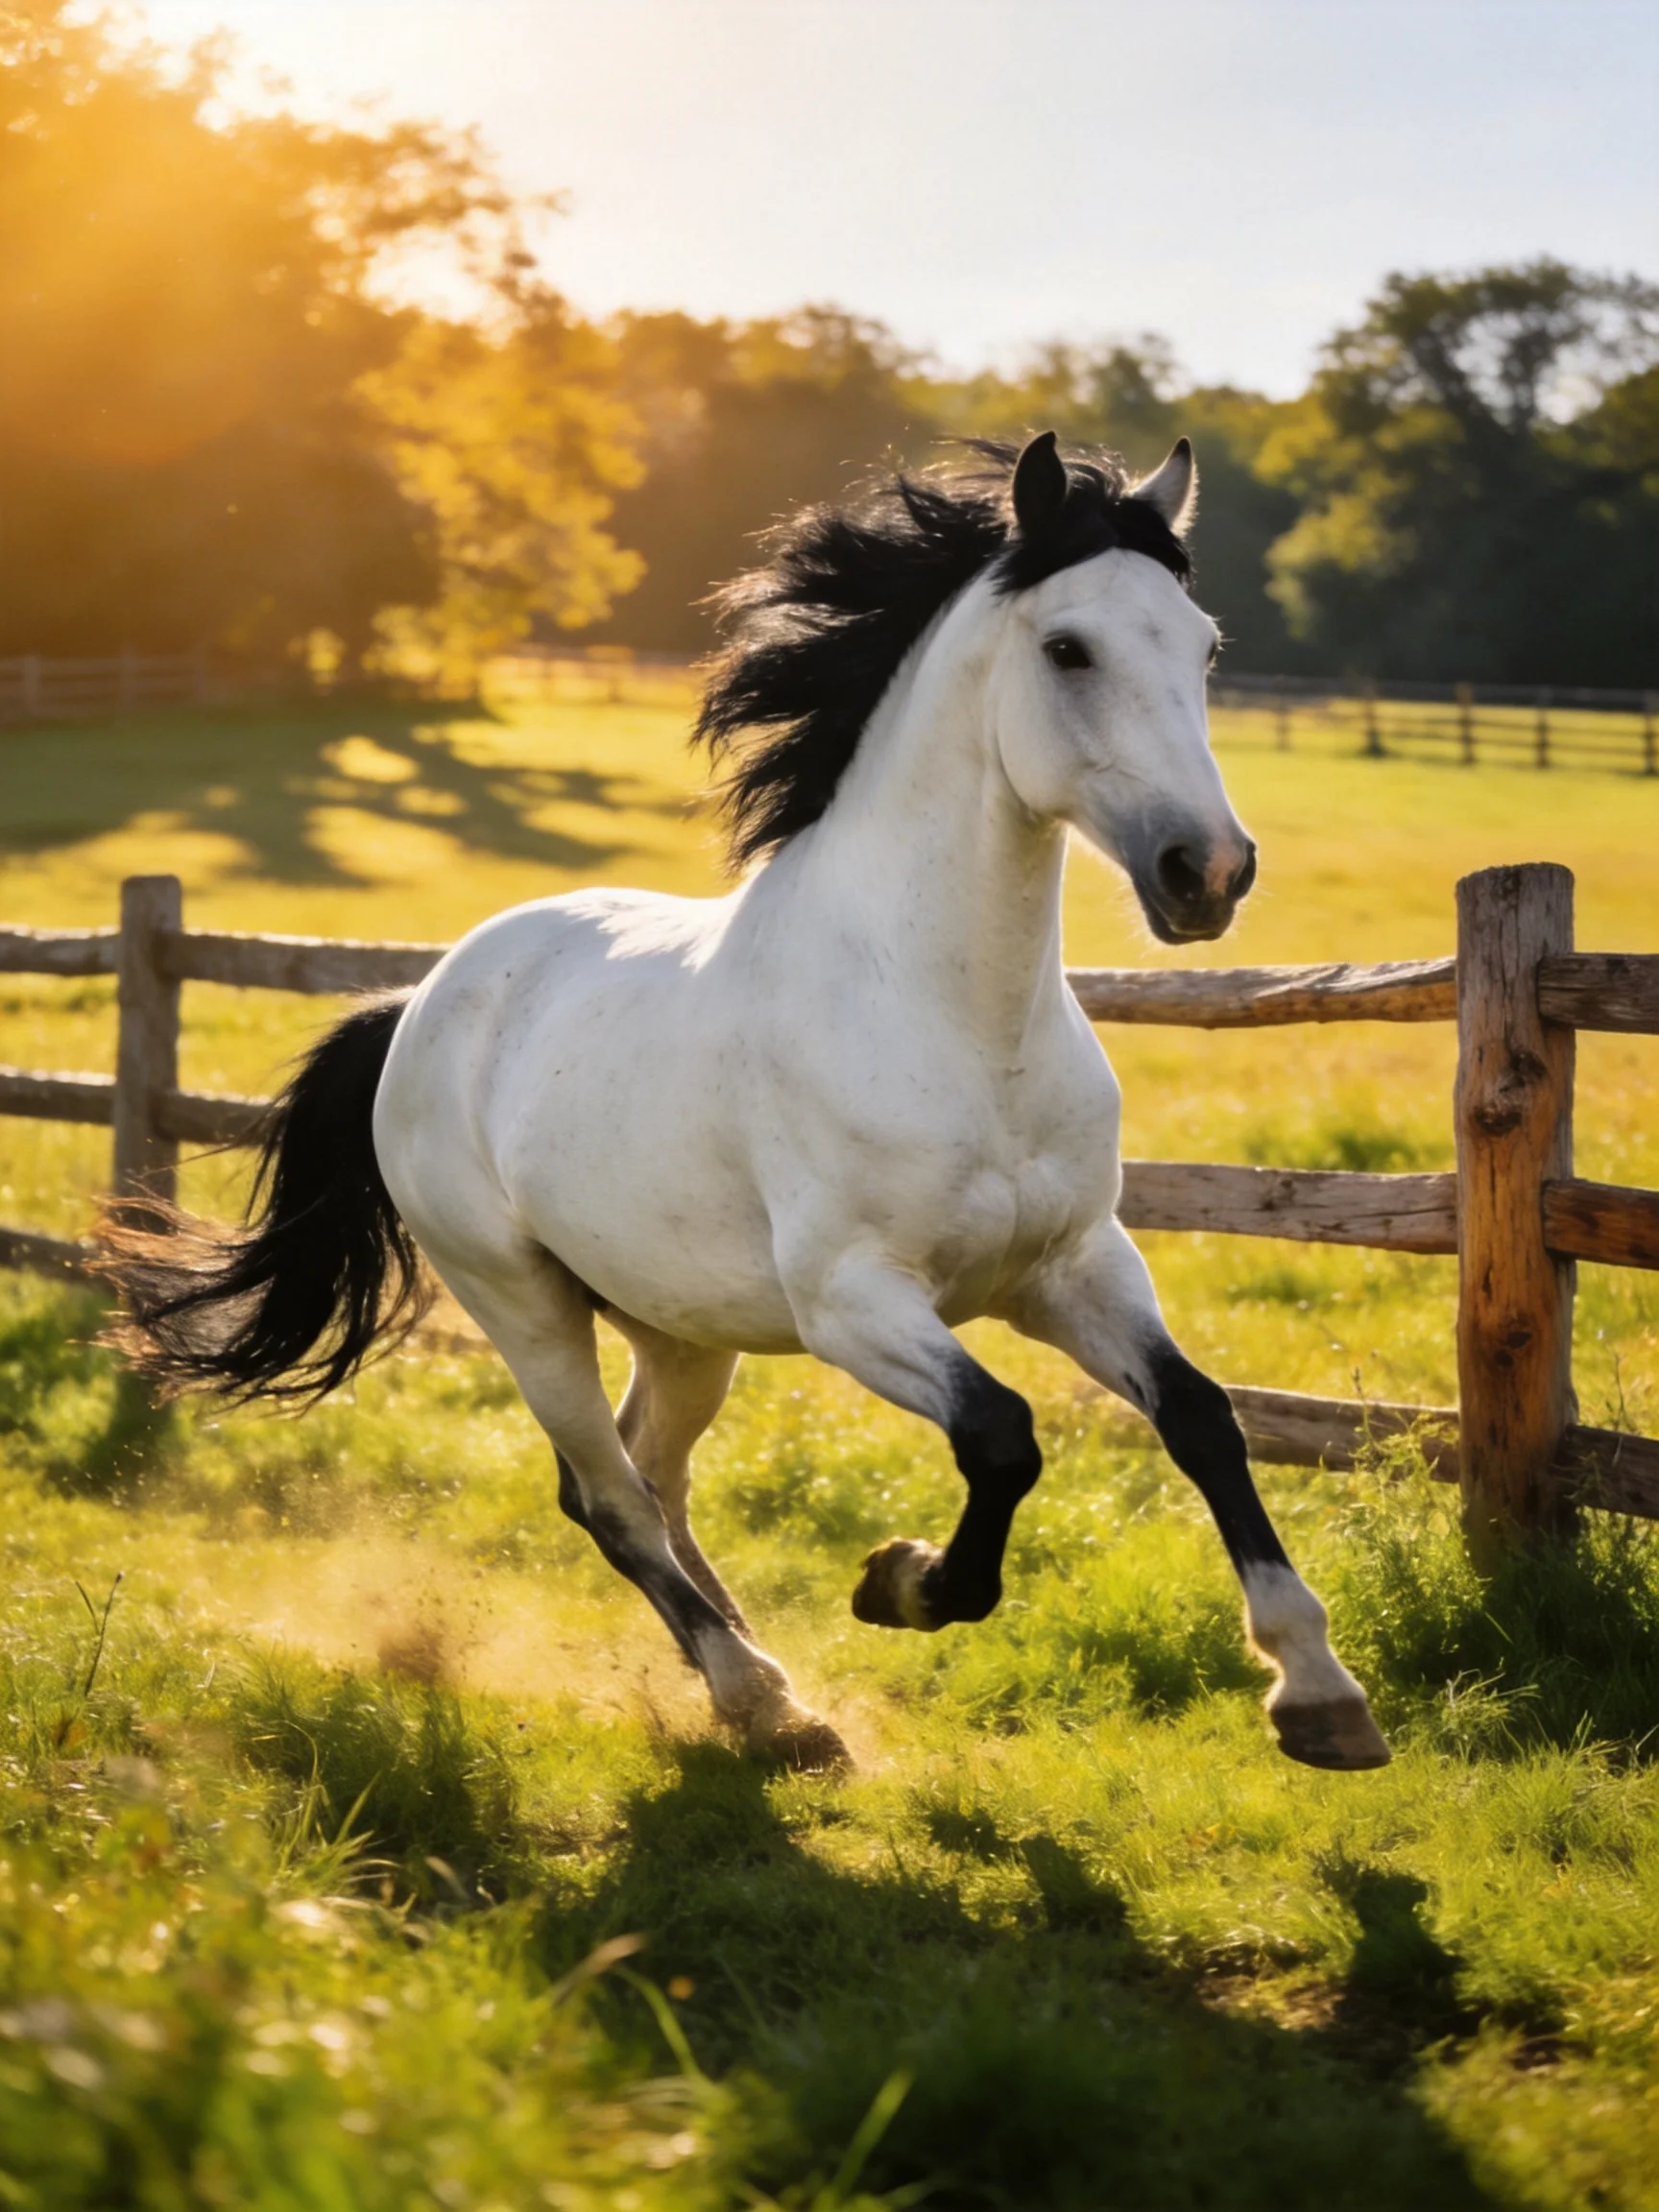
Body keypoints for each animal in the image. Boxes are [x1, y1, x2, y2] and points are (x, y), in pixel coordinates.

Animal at [108, 432, 1390, 1776]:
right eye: (1068, 648)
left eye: (1203, 646)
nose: (1210, 874)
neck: (951, 1020)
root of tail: (422, 1002)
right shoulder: (853, 1302)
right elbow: (1003, 1436)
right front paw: (901, 1582)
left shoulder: (1073, 1265)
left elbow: (1200, 1417)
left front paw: (1319, 1694)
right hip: (520, 1302)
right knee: (608, 1496)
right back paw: (769, 1703)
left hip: (678, 1323)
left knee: (651, 1478)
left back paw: (753, 1679)